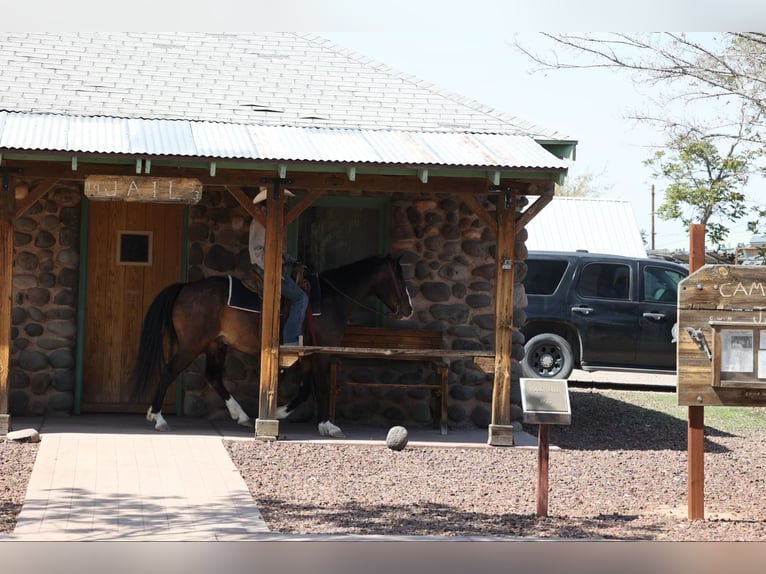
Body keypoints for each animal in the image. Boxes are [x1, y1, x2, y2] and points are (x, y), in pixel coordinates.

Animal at [129, 254, 414, 436]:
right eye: (400, 280)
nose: (409, 310)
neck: (331, 299)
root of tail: (186, 287)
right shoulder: (321, 353)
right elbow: (319, 387)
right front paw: (328, 426)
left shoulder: (307, 354)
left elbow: (306, 389)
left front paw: (277, 411)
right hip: (192, 344)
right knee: (170, 371)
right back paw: (157, 417)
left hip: (215, 344)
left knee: (214, 376)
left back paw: (242, 416)